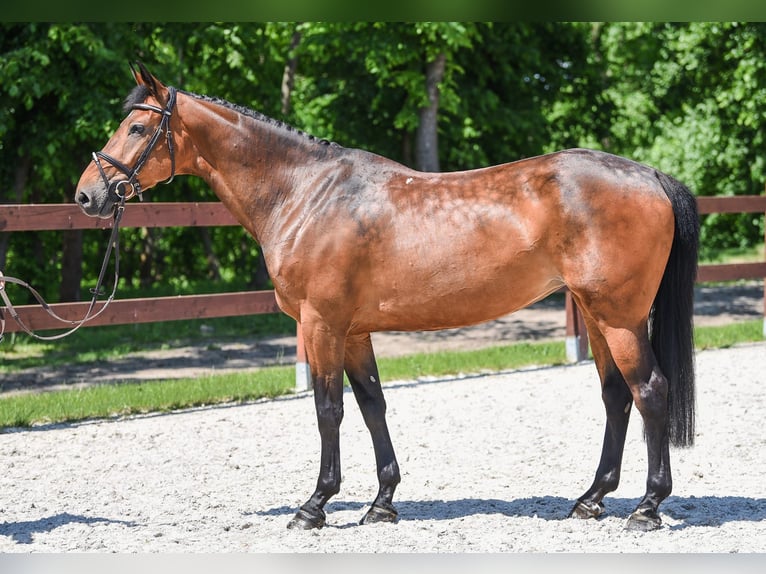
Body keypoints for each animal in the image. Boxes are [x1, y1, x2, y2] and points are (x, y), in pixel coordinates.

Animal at [75, 64, 700, 536]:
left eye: (137, 128)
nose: (86, 195)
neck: (307, 194)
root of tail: (650, 175)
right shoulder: (353, 331)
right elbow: (372, 405)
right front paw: (381, 503)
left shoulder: (321, 326)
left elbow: (328, 410)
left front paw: (314, 506)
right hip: (595, 316)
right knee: (616, 397)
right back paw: (591, 499)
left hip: (618, 317)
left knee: (650, 390)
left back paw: (647, 507)